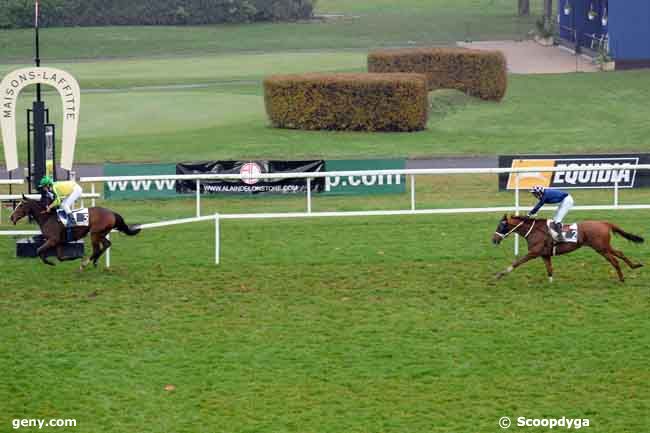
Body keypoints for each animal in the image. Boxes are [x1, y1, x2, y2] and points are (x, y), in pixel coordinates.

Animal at [10, 197, 140, 270]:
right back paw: (94, 261)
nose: (11, 217)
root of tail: (112, 212)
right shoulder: (58, 242)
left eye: (21, 205)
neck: (47, 218)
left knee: (97, 249)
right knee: (107, 244)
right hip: (100, 233)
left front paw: (50, 262)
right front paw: (72, 257)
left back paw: (85, 263)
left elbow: (39, 250)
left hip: (94, 233)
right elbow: (60, 257)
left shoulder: (53, 240)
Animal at [494, 214, 640, 282]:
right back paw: (635, 266)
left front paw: (500, 274)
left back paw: (622, 279)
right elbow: (549, 269)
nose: (494, 239)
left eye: (501, 226)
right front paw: (551, 282)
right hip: (604, 246)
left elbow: (517, 262)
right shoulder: (545, 254)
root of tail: (604, 223)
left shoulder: (533, 253)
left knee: (615, 261)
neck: (534, 231)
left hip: (601, 248)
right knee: (620, 253)